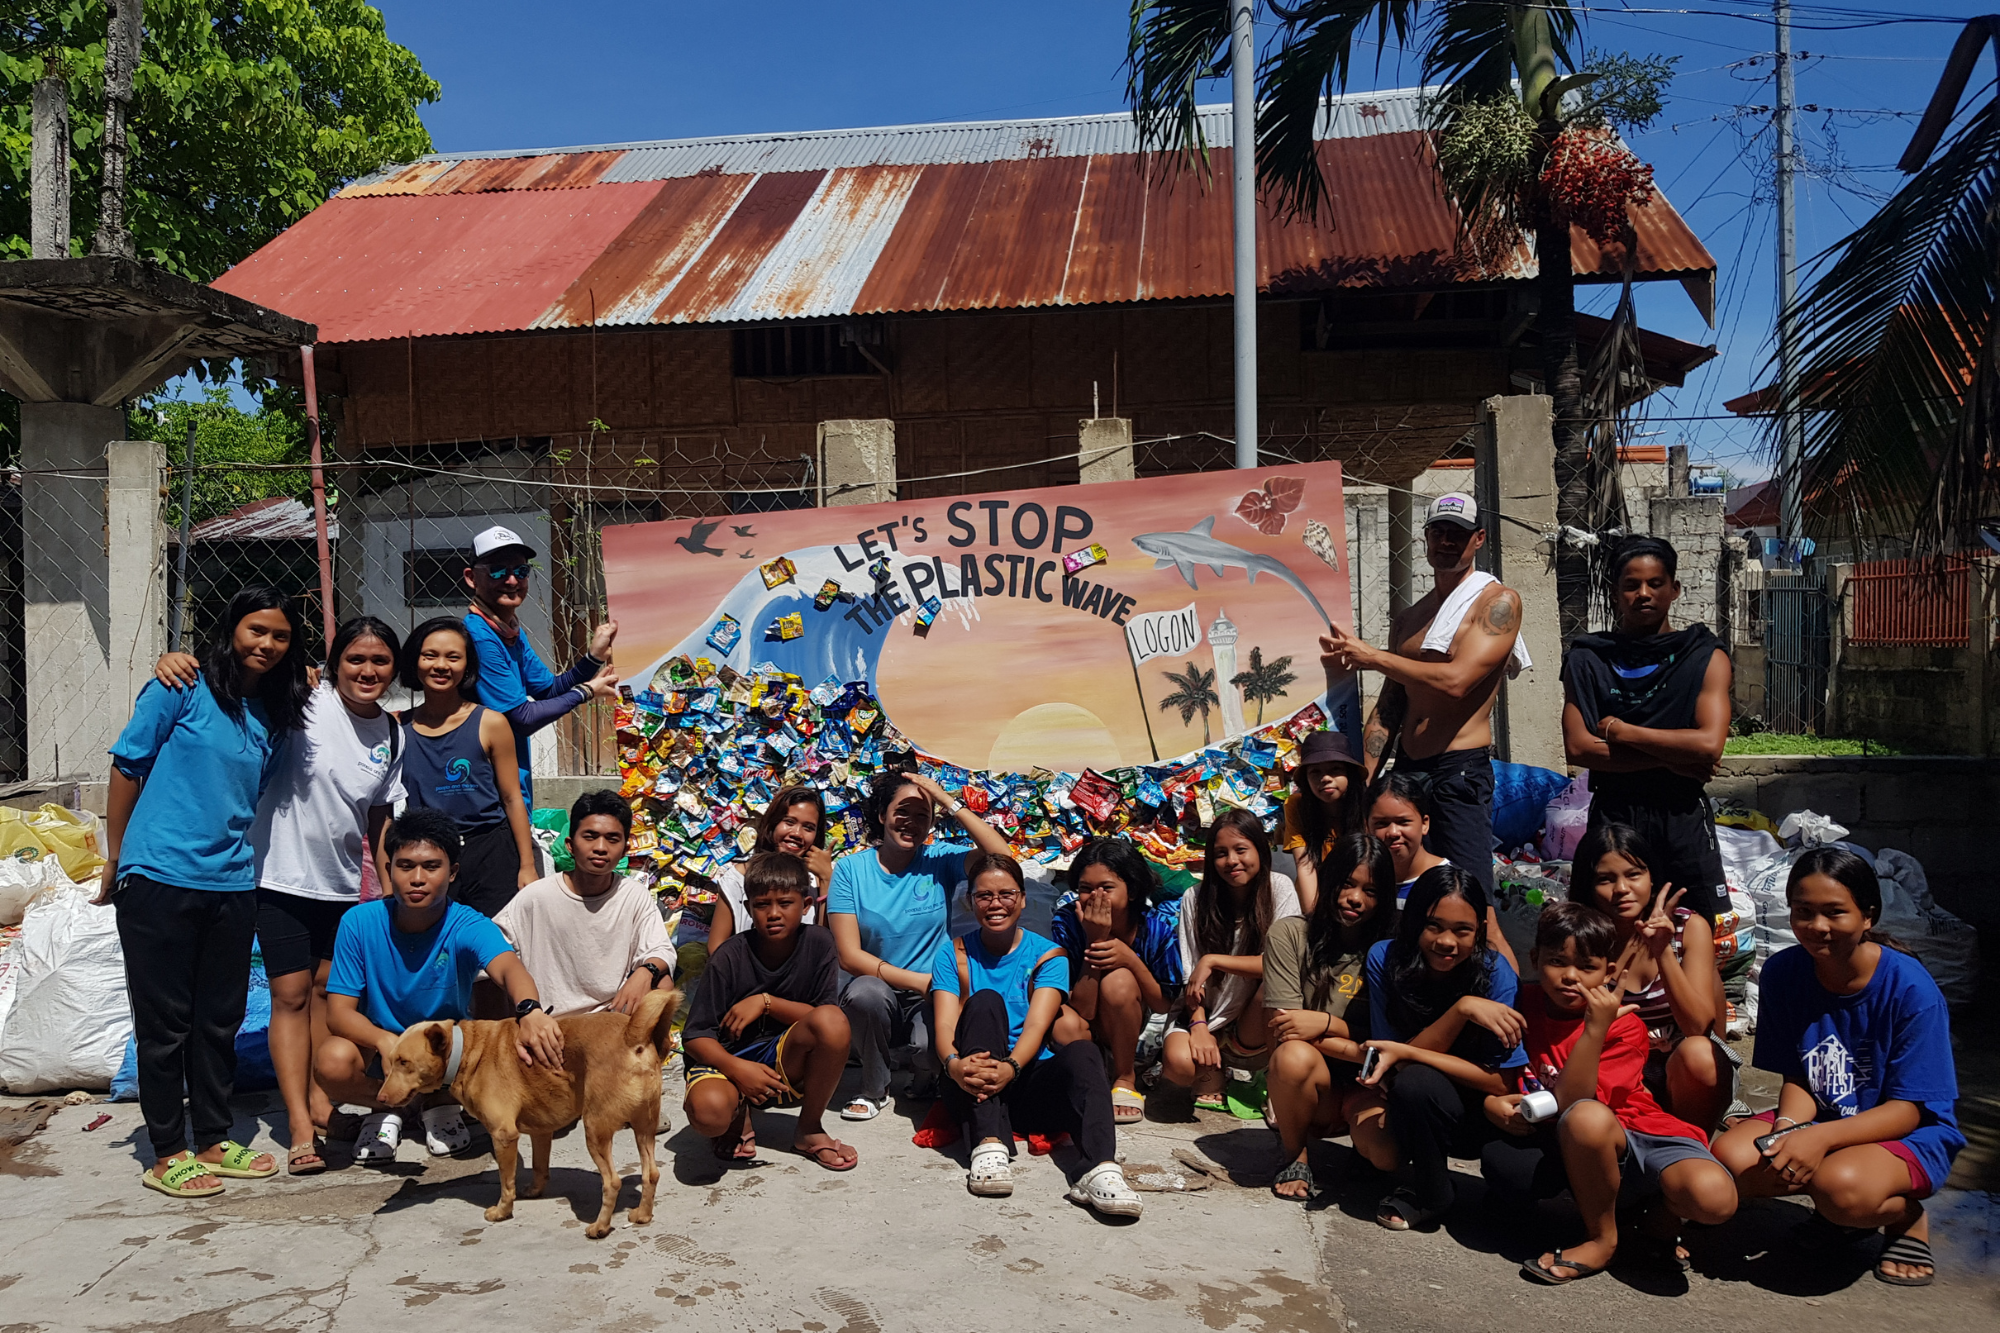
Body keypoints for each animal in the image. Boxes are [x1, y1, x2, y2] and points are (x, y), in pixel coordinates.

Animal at [378, 984, 684, 1232]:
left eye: (404, 1062)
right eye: (391, 1060)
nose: (380, 1098)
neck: (467, 1050)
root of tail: (633, 1035)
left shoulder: (504, 1135)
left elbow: (506, 1182)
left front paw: (502, 1211)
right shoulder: (541, 1130)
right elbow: (539, 1165)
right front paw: (535, 1190)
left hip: (595, 1129)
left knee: (612, 1182)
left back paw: (599, 1227)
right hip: (644, 1127)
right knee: (651, 1173)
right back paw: (643, 1215)